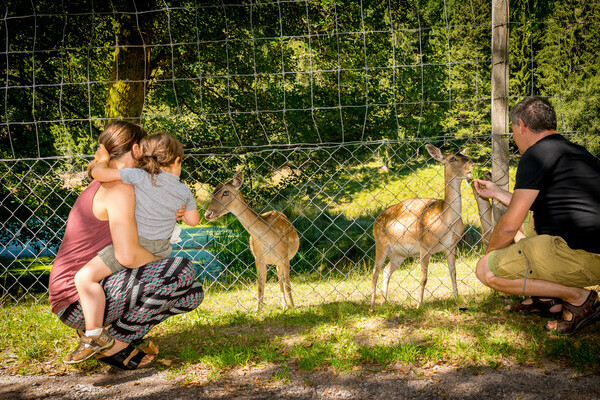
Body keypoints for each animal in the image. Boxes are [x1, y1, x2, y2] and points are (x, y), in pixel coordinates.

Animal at [204, 171, 300, 310]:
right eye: (212, 193)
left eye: (225, 192)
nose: (207, 214)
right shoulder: (258, 257)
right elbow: (260, 284)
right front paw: (257, 310)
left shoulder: (285, 255)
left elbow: (288, 284)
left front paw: (293, 307)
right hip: (276, 262)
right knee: (279, 278)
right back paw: (283, 304)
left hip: (281, 260)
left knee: (281, 279)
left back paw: (285, 304)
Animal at [370, 145, 474, 308]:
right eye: (452, 158)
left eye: (466, 155)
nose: (473, 165)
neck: (446, 221)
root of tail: (375, 221)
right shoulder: (425, 246)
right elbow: (424, 278)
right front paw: (419, 305)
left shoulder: (451, 246)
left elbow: (453, 273)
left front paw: (457, 298)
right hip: (381, 244)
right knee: (375, 273)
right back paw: (372, 305)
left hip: (399, 254)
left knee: (386, 271)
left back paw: (384, 301)